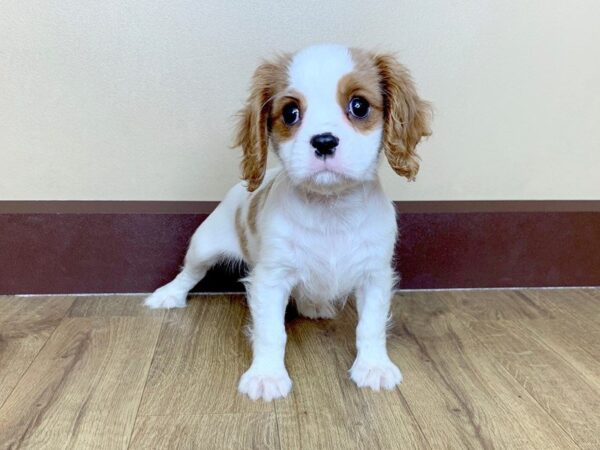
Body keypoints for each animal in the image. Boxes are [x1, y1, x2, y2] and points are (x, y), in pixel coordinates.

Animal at [145, 43, 432, 400]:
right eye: (290, 113)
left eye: (359, 105)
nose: (324, 141)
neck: (329, 207)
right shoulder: (271, 277)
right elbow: (271, 331)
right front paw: (266, 375)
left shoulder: (374, 275)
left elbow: (371, 326)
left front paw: (373, 366)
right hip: (204, 245)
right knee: (190, 272)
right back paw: (168, 295)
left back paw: (315, 303)